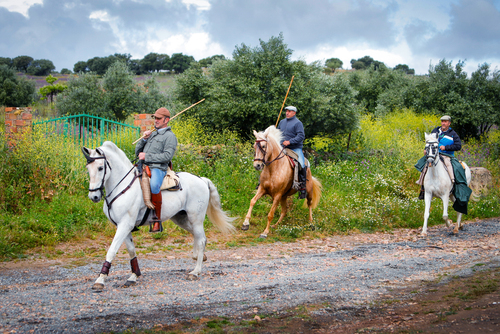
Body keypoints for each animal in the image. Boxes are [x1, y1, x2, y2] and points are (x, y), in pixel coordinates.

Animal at [82, 140, 236, 290]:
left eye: (100, 168)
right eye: (88, 168)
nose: (94, 196)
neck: (123, 187)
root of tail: (201, 179)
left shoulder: (125, 225)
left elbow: (112, 251)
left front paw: (100, 280)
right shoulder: (122, 226)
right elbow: (131, 251)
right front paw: (133, 276)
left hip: (195, 219)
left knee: (202, 239)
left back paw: (195, 271)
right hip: (180, 218)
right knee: (197, 236)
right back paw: (199, 256)